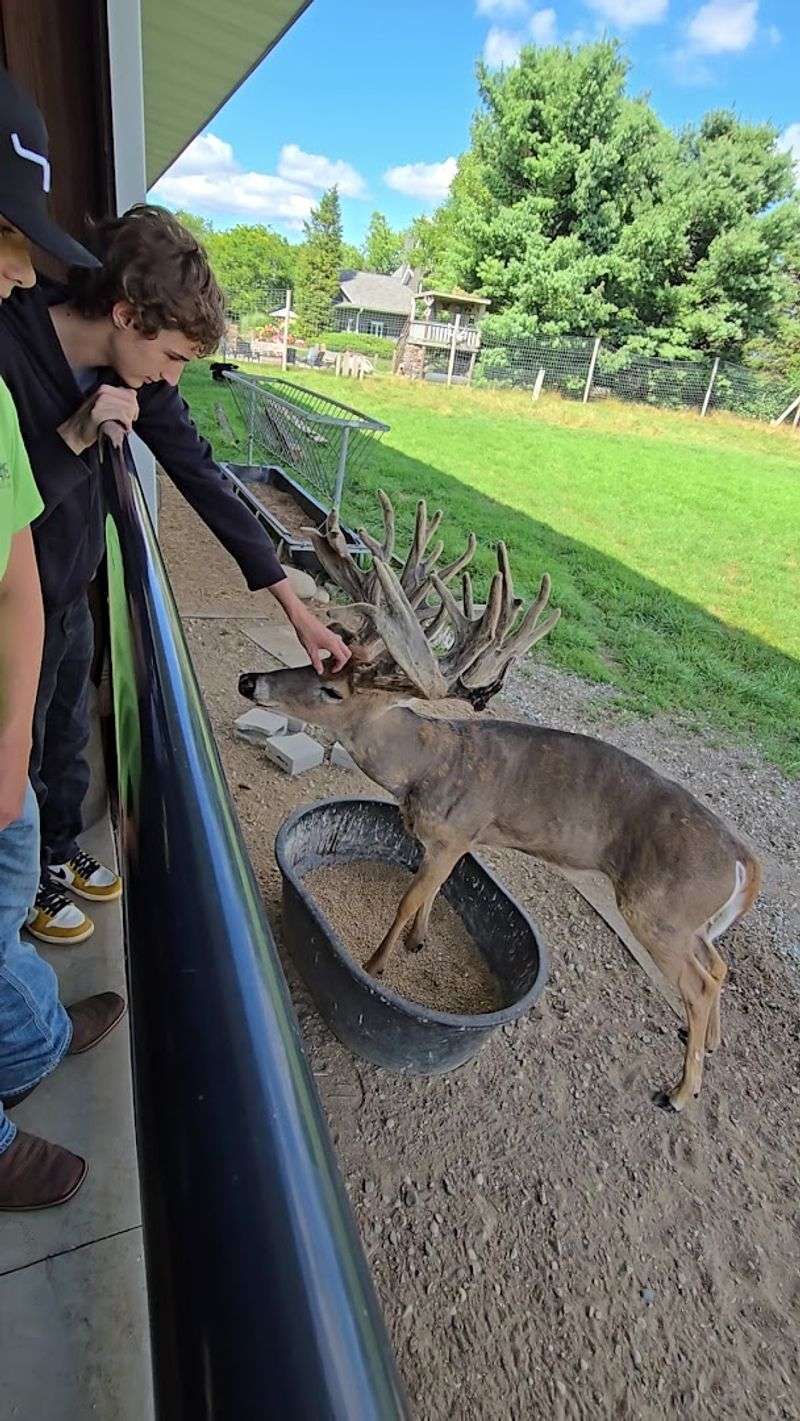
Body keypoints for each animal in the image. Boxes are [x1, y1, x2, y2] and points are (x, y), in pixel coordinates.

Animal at [238, 492, 761, 1112]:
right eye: (317, 661)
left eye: (332, 690)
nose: (249, 682)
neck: (426, 765)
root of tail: (744, 860)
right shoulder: (454, 841)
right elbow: (432, 895)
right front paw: (418, 943)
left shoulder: (453, 834)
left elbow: (407, 900)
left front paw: (375, 966)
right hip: (693, 921)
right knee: (720, 964)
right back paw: (708, 1041)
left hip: (659, 909)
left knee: (700, 981)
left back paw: (680, 1092)